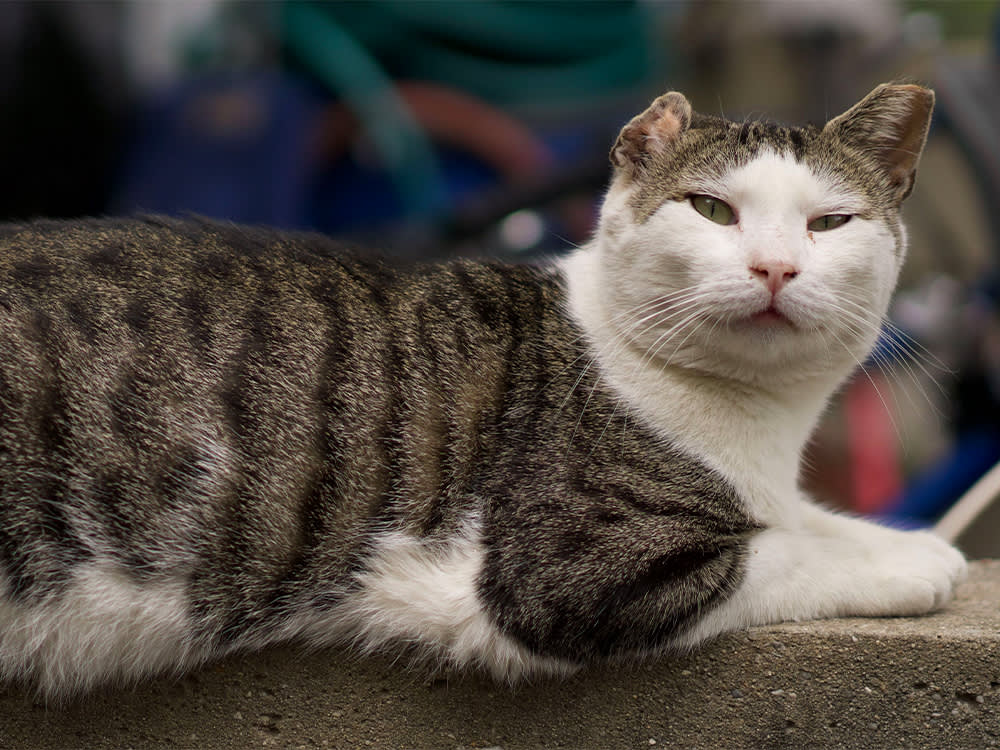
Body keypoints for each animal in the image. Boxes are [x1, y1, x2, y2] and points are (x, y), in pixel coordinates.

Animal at [0, 82, 968, 700]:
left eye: (830, 222)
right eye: (711, 209)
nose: (775, 266)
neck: (754, 425)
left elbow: (808, 519)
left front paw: (913, 540)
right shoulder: (566, 568)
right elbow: (785, 551)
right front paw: (913, 565)